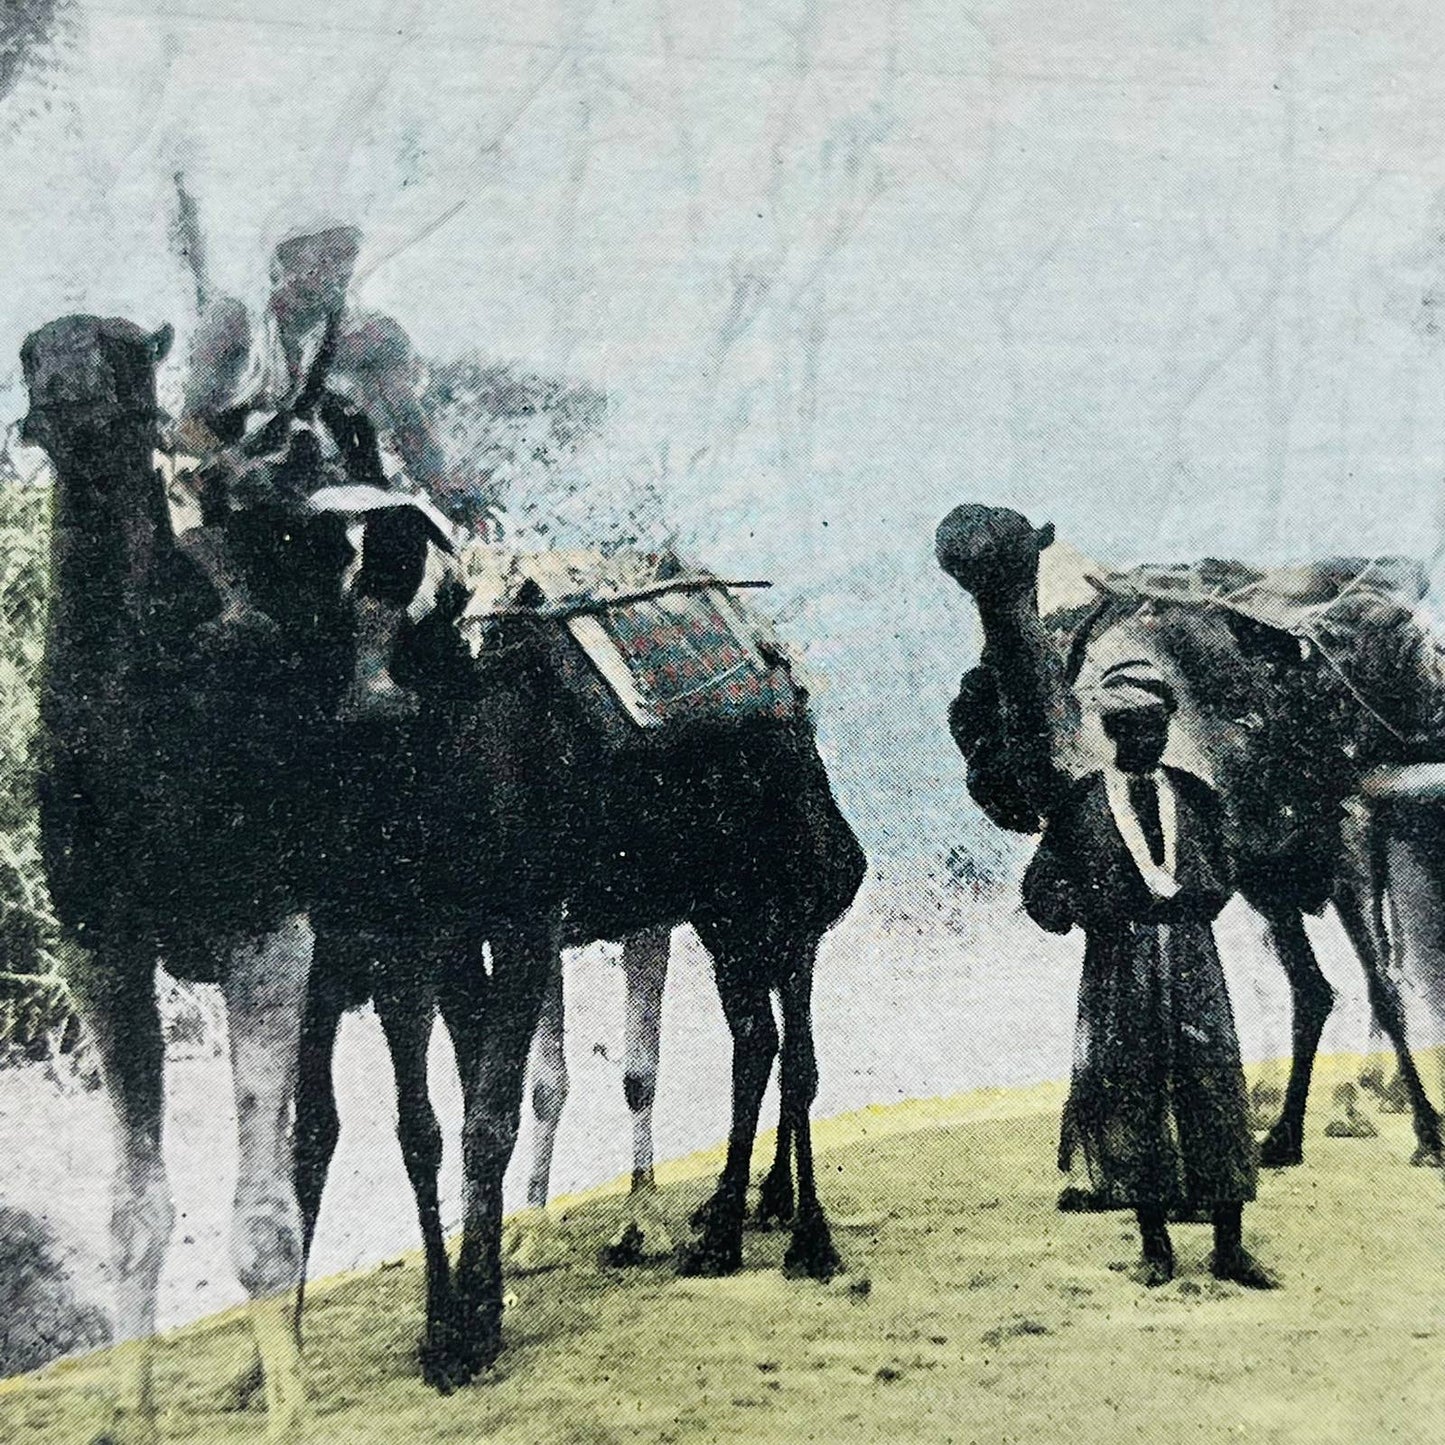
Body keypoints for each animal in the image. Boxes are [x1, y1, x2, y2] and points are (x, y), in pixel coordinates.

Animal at [936, 502, 1445, 1179]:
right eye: (959, 546)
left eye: (1013, 544)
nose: (960, 542)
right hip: (1271, 876)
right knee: (1314, 987)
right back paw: (1285, 1137)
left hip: (1351, 837)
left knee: (1381, 978)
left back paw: (1397, 1124)